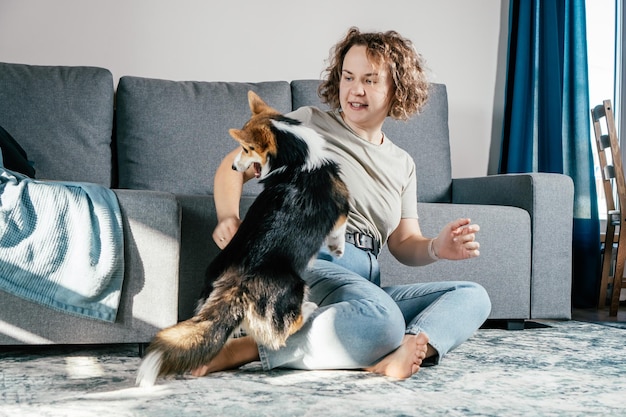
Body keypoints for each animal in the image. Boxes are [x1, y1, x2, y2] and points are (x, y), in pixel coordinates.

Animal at [136, 89, 348, 386]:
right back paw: (308, 308)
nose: (235, 168)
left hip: (210, 286)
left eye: (247, 149)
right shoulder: (341, 203)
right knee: (281, 331)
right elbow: (341, 227)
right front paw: (337, 248)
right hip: (295, 285)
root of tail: (236, 282)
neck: (296, 157)